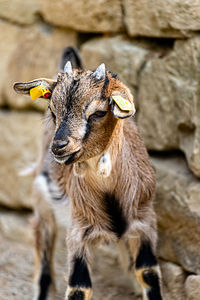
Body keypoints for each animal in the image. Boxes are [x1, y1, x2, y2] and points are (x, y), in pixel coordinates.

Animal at [13, 48, 162, 298]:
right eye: (53, 111)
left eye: (99, 113)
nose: (59, 146)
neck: (108, 191)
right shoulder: (79, 231)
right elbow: (79, 287)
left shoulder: (144, 221)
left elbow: (147, 273)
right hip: (42, 200)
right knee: (42, 244)